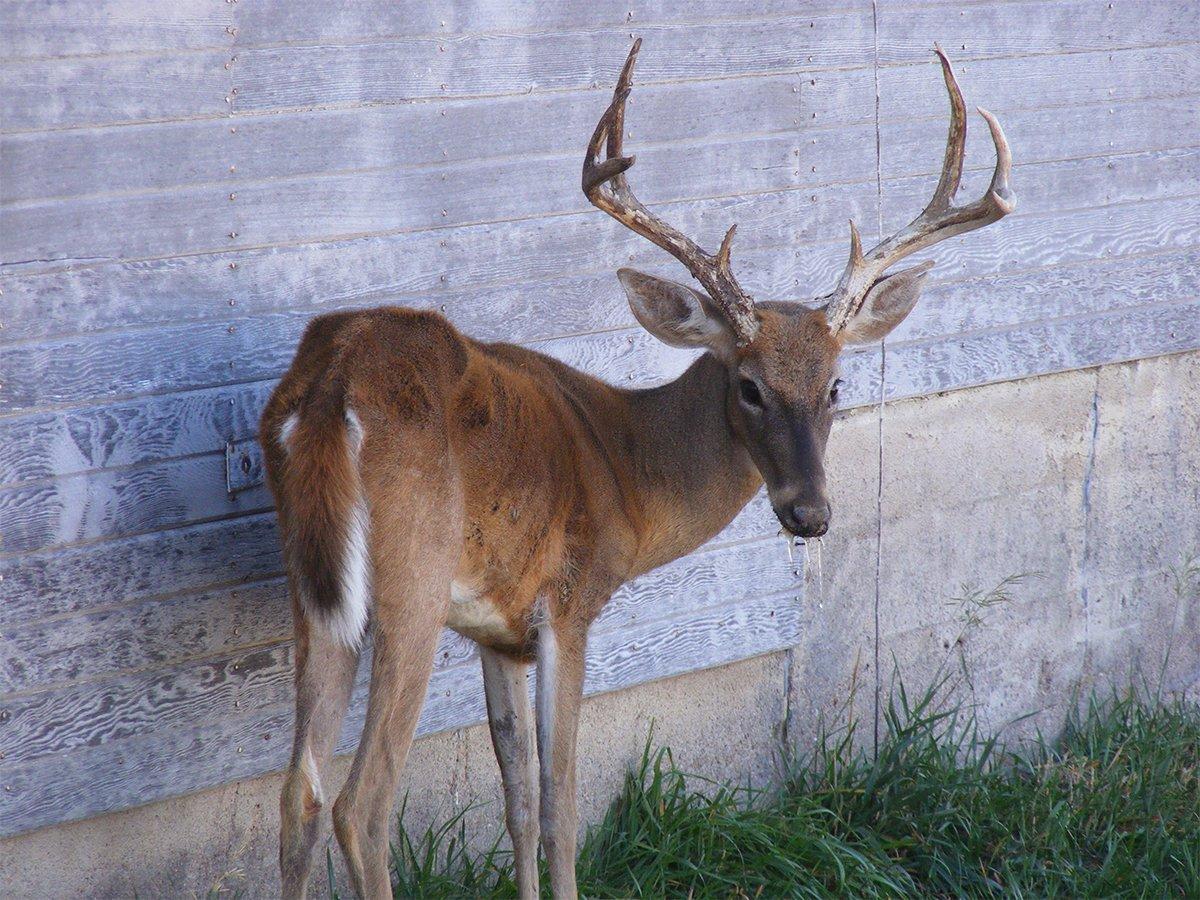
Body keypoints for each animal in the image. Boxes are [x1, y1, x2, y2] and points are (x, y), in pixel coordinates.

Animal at [262, 37, 1012, 900]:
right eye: (748, 385)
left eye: (835, 385)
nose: (810, 514)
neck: (623, 469)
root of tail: (332, 384)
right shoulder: (569, 602)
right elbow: (561, 808)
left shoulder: (498, 631)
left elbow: (519, 805)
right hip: (410, 579)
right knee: (362, 804)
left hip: (314, 589)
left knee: (299, 795)